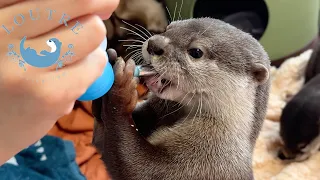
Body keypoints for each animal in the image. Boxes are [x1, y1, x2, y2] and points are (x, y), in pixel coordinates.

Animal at [92, 17, 270, 180]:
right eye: (167, 28)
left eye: (196, 52)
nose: (153, 44)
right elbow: (100, 139)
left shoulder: (209, 156)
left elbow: (138, 169)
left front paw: (121, 90)